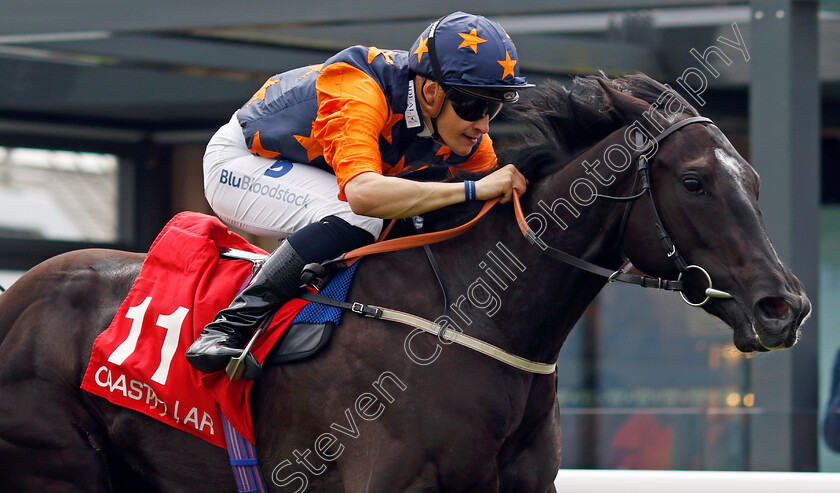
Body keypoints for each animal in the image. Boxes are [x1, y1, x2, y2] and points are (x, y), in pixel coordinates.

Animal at [0, 75, 808, 490]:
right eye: (696, 181)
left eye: (755, 179)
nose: (785, 306)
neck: (472, 323)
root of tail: (18, 295)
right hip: (59, 465)